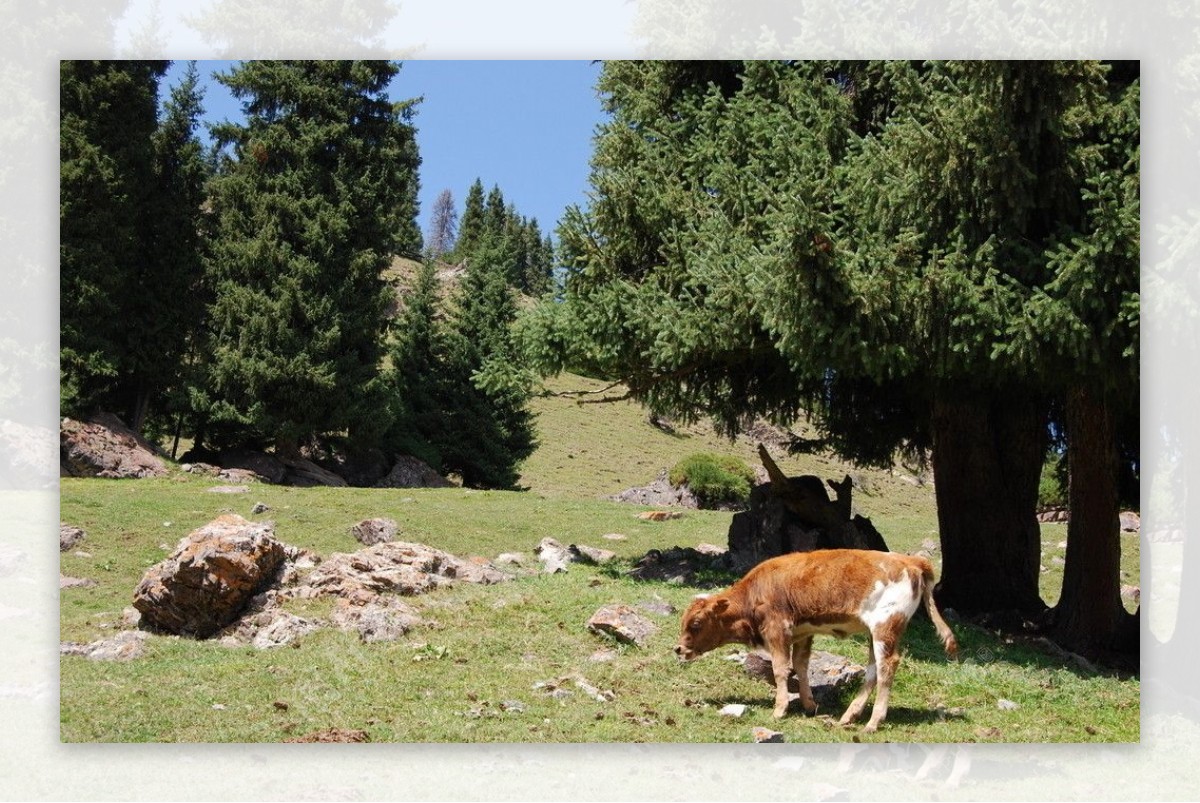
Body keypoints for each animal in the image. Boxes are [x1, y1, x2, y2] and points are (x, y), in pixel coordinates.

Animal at [676, 547, 955, 729]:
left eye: (696, 623)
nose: (678, 649)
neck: (755, 592)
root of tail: (911, 560)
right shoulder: (802, 632)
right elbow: (800, 666)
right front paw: (809, 704)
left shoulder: (778, 628)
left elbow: (780, 669)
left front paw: (779, 709)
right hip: (875, 633)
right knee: (873, 669)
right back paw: (850, 715)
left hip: (885, 627)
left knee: (887, 666)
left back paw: (874, 721)